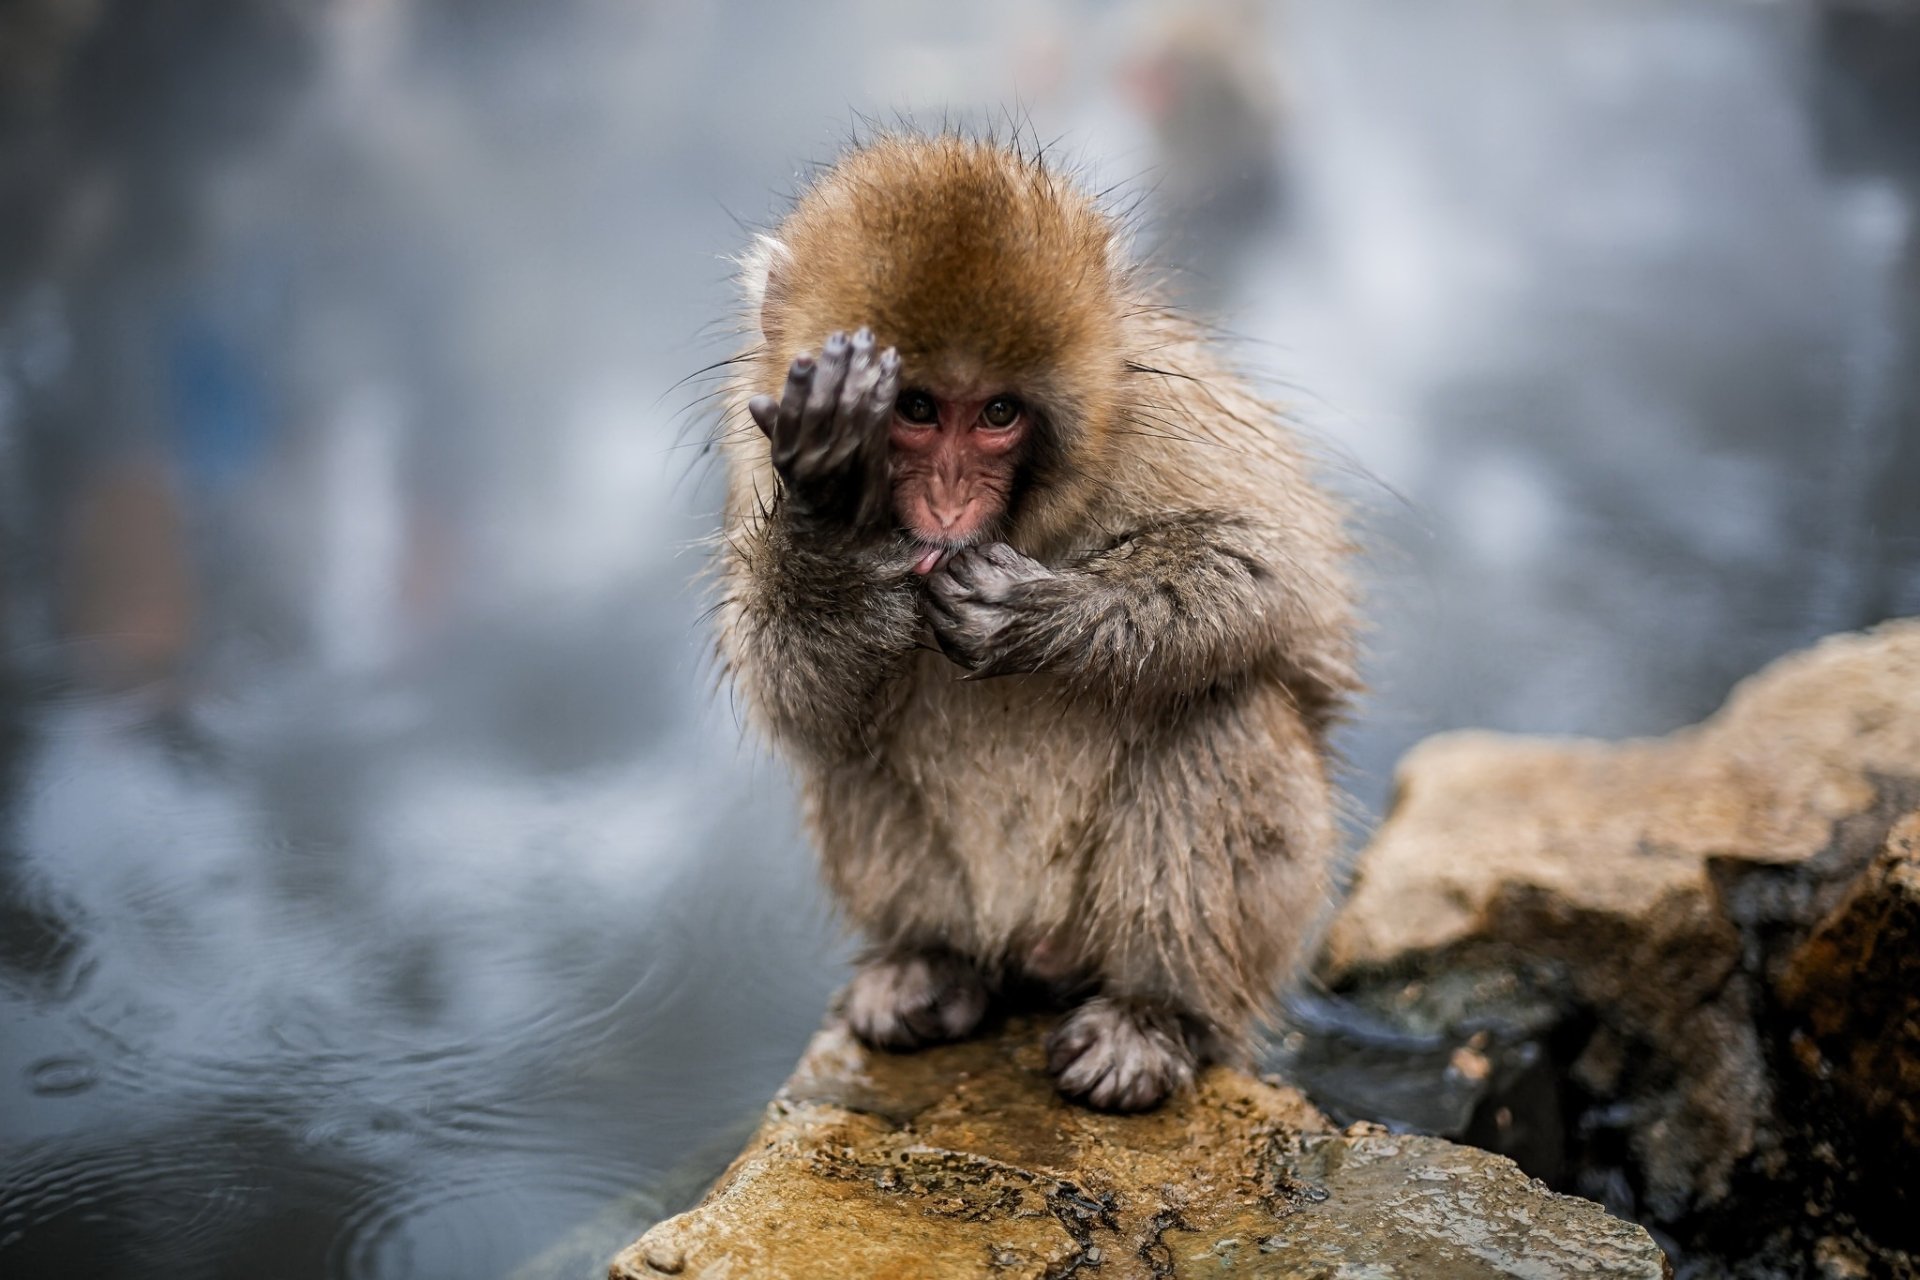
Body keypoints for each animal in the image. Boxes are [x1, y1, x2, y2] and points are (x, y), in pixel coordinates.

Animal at [712, 133, 1357, 1112]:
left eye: (998, 414)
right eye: (915, 409)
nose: (948, 503)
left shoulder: (1164, 421)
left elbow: (1270, 571)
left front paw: (1032, 614)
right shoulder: (758, 449)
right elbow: (797, 695)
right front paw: (832, 511)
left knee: (1225, 706)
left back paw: (1156, 1015)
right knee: (850, 752)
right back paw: (933, 964)